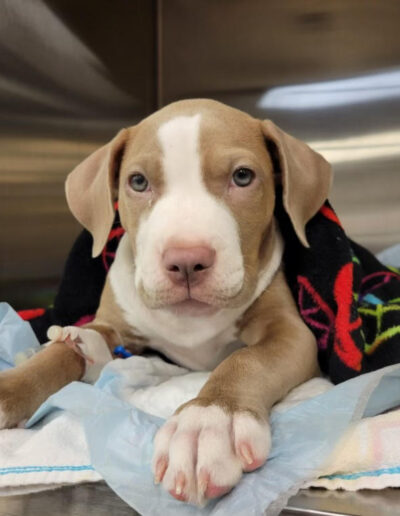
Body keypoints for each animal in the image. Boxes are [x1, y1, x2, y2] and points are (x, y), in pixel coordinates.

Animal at [0, 99, 332, 505]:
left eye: (242, 177)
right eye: (138, 182)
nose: (186, 261)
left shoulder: (289, 332)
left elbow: (247, 360)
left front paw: (208, 422)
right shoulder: (110, 325)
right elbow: (63, 350)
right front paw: (12, 386)